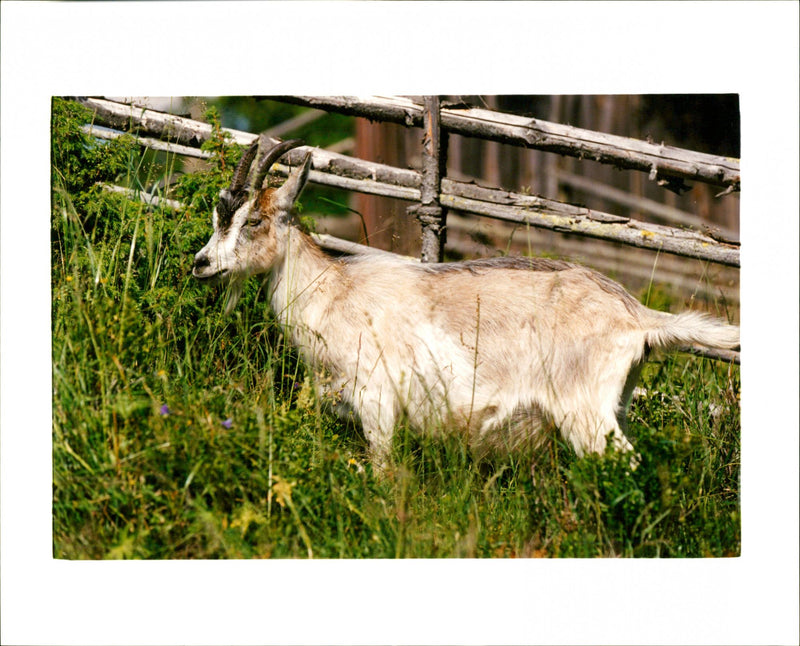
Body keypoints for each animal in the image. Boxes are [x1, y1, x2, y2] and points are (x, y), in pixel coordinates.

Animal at [192, 137, 740, 469]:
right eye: (221, 215)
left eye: (254, 221)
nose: (200, 263)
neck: (334, 290)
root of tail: (638, 316)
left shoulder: (377, 400)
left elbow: (382, 473)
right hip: (615, 404)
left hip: (584, 410)